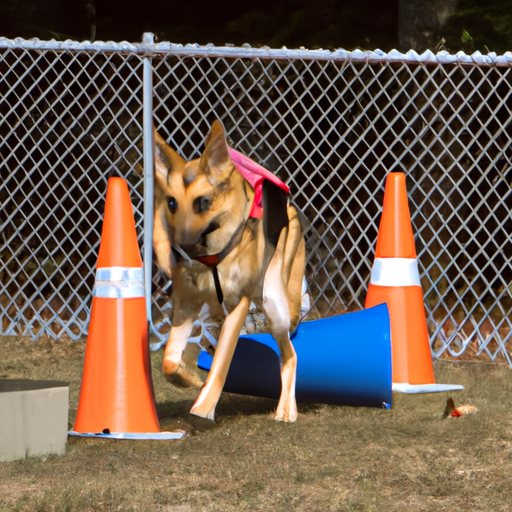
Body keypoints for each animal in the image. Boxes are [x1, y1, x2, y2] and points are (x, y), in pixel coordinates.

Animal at [152, 121, 304, 424]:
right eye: (172, 204)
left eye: (203, 202)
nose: (179, 251)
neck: (211, 259)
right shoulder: (185, 306)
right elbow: (169, 362)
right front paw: (187, 378)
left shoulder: (238, 306)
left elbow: (222, 361)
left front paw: (204, 406)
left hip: (274, 306)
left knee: (290, 355)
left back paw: (286, 410)